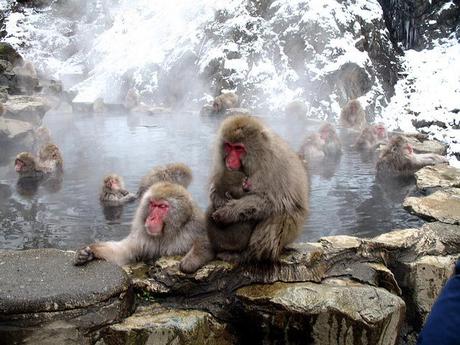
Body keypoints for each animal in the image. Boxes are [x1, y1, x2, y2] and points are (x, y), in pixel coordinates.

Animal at [75, 181, 210, 268]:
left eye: (162, 206)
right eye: (153, 204)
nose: (151, 218)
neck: (166, 234)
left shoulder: (194, 227)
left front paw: (192, 260)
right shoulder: (141, 236)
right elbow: (123, 252)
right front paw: (89, 251)